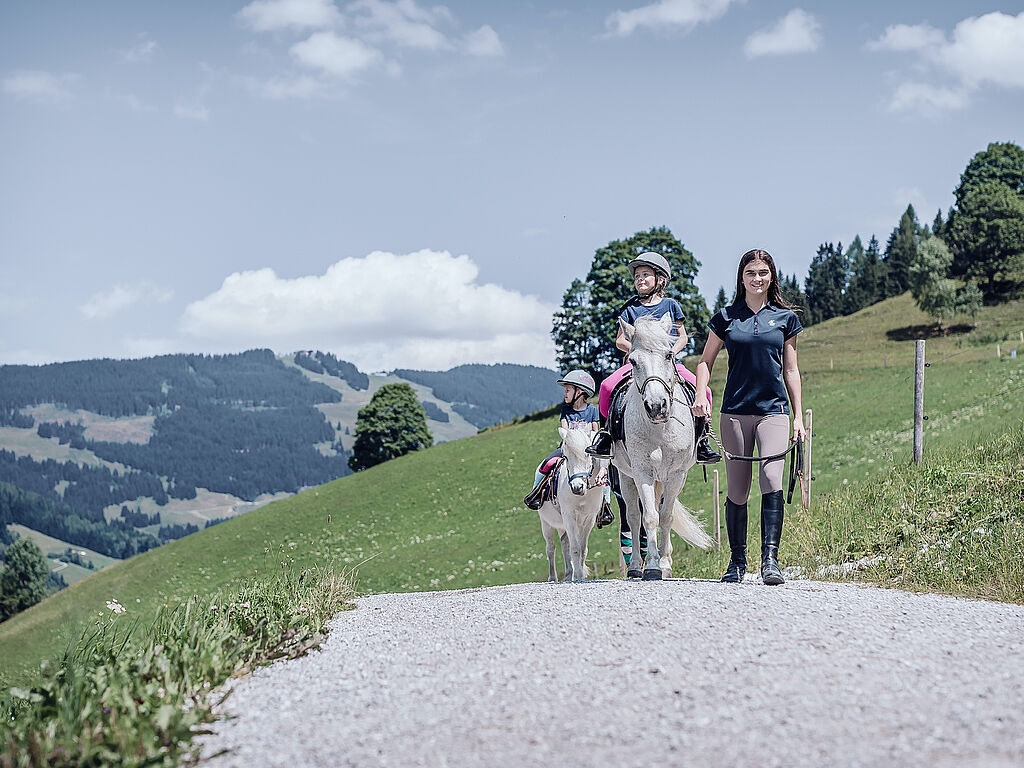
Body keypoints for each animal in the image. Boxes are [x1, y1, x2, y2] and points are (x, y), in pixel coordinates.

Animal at [537, 427, 609, 582]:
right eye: (566, 457)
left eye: (588, 455)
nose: (577, 487)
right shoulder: (569, 516)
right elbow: (575, 549)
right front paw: (578, 575)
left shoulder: (588, 520)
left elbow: (582, 549)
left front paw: (578, 575)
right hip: (546, 523)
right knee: (550, 548)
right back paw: (553, 577)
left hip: (563, 525)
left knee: (564, 543)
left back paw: (569, 574)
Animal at [612, 313, 713, 580]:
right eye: (633, 361)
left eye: (668, 355)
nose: (656, 406)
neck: (660, 429)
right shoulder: (642, 473)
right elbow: (649, 518)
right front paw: (652, 566)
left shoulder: (677, 474)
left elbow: (666, 516)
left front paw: (665, 565)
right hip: (627, 477)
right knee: (633, 517)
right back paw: (636, 567)